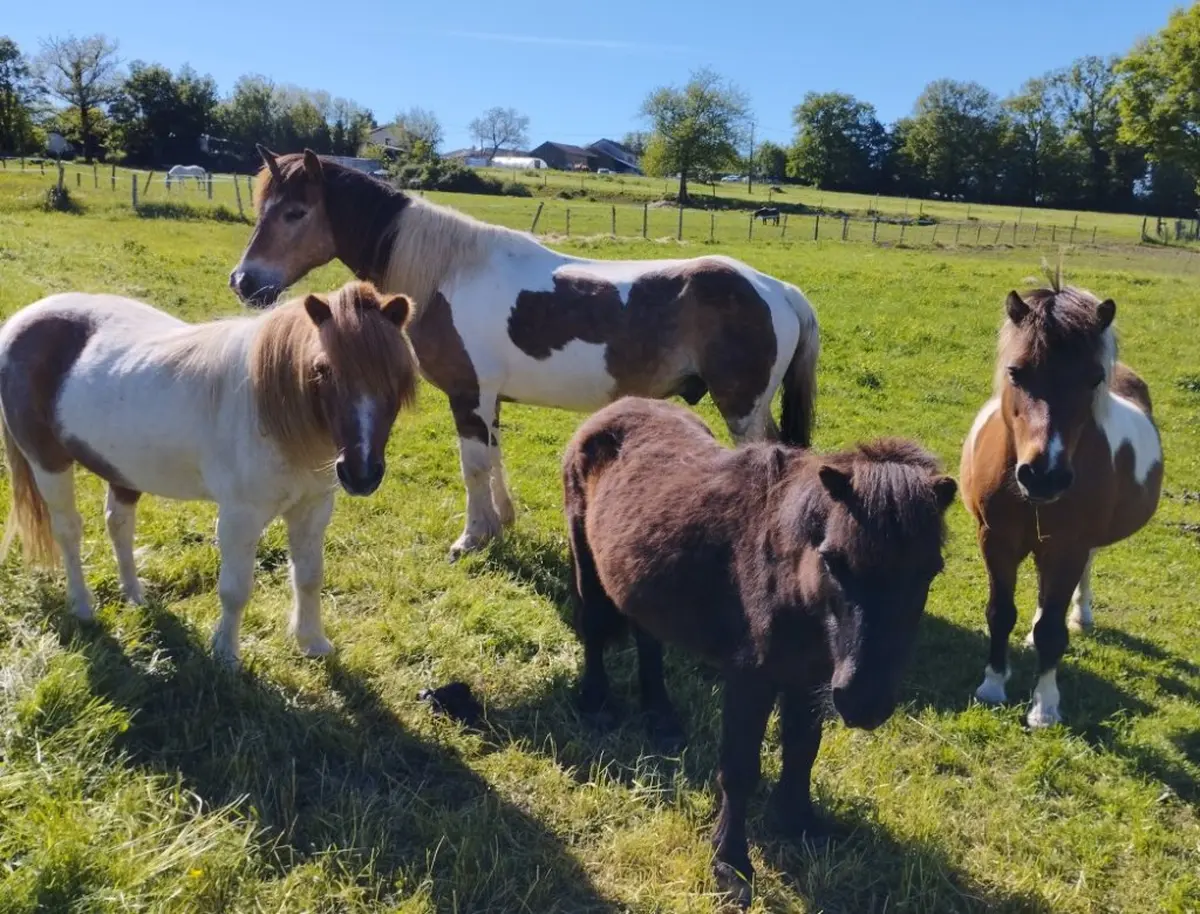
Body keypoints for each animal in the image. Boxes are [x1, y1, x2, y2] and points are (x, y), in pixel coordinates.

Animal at [0, 280, 417, 665]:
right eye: (323, 369)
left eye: (398, 374)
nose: (361, 473)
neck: (271, 411)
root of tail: (22, 322)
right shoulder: (239, 518)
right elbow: (236, 589)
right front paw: (226, 654)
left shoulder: (313, 509)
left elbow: (310, 576)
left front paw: (313, 643)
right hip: (48, 463)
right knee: (68, 530)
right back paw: (82, 605)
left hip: (122, 471)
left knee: (118, 524)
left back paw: (135, 595)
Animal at [229, 147, 820, 559]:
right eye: (263, 209)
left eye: (295, 212)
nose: (244, 281)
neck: (448, 274)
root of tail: (778, 289)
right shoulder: (488, 399)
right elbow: (494, 460)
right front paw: (500, 523)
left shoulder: (467, 395)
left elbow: (472, 467)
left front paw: (471, 537)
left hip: (742, 410)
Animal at [562, 397, 956, 908]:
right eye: (834, 560)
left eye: (930, 570)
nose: (864, 703)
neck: (792, 582)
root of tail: (614, 408)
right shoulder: (751, 679)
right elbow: (740, 768)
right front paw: (731, 865)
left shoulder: (810, 679)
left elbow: (802, 750)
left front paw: (798, 821)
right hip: (586, 558)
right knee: (593, 626)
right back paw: (596, 704)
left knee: (648, 640)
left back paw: (661, 717)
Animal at [960, 281, 1163, 728]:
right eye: (1016, 372)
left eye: (1093, 379)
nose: (1044, 475)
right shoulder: (995, 541)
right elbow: (1000, 612)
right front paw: (992, 684)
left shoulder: (1068, 547)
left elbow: (1052, 633)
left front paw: (1044, 706)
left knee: (1081, 576)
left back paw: (1081, 614)